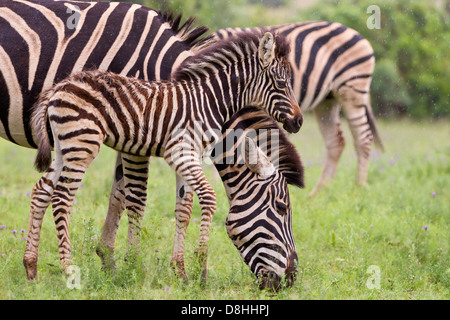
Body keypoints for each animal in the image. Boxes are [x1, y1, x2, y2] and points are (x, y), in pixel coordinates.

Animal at [28, 31, 302, 284]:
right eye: (281, 207)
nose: (298, 122)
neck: (210, 99)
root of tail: (58, 87)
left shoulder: (190, 155)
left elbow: (184, 207)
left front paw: (181, 271)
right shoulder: (180, 151)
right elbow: (208, 198)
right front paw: (199, 266)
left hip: (64, 146)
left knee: (41, 190)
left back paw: (31, 268)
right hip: (81, 144)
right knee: (62, 198)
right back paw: (68, 270)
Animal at [216, 21, 384, 195]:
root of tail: (356, 33)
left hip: (352, 90)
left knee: (363, 137)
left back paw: (359, 187)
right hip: (327, 100)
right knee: (336, 141)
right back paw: (319, 192)